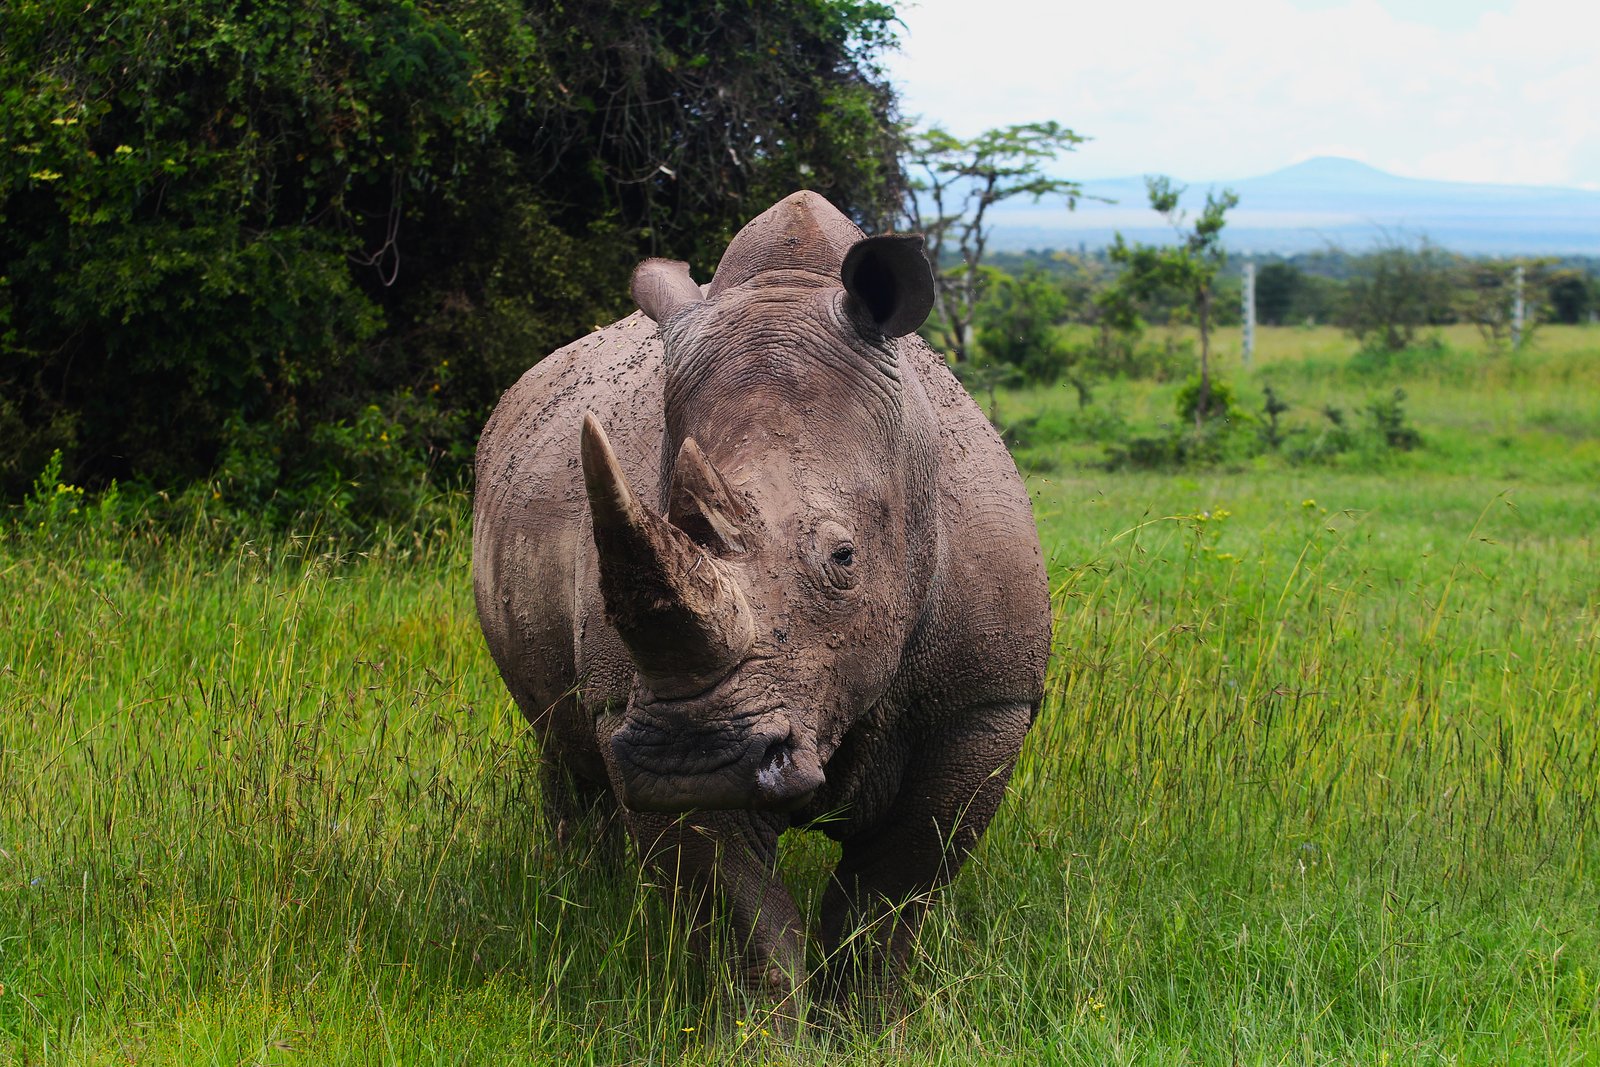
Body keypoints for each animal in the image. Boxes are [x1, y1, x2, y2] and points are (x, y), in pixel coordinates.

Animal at [472, 192, 1050, 1007]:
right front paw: (757, 1027)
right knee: (562, 746)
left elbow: (892, 892)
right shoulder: (643, 709)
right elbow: (743, 922)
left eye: (844, 558)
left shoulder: (984, 697)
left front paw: (863, 1021)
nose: (690, 757)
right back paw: (587, 904)